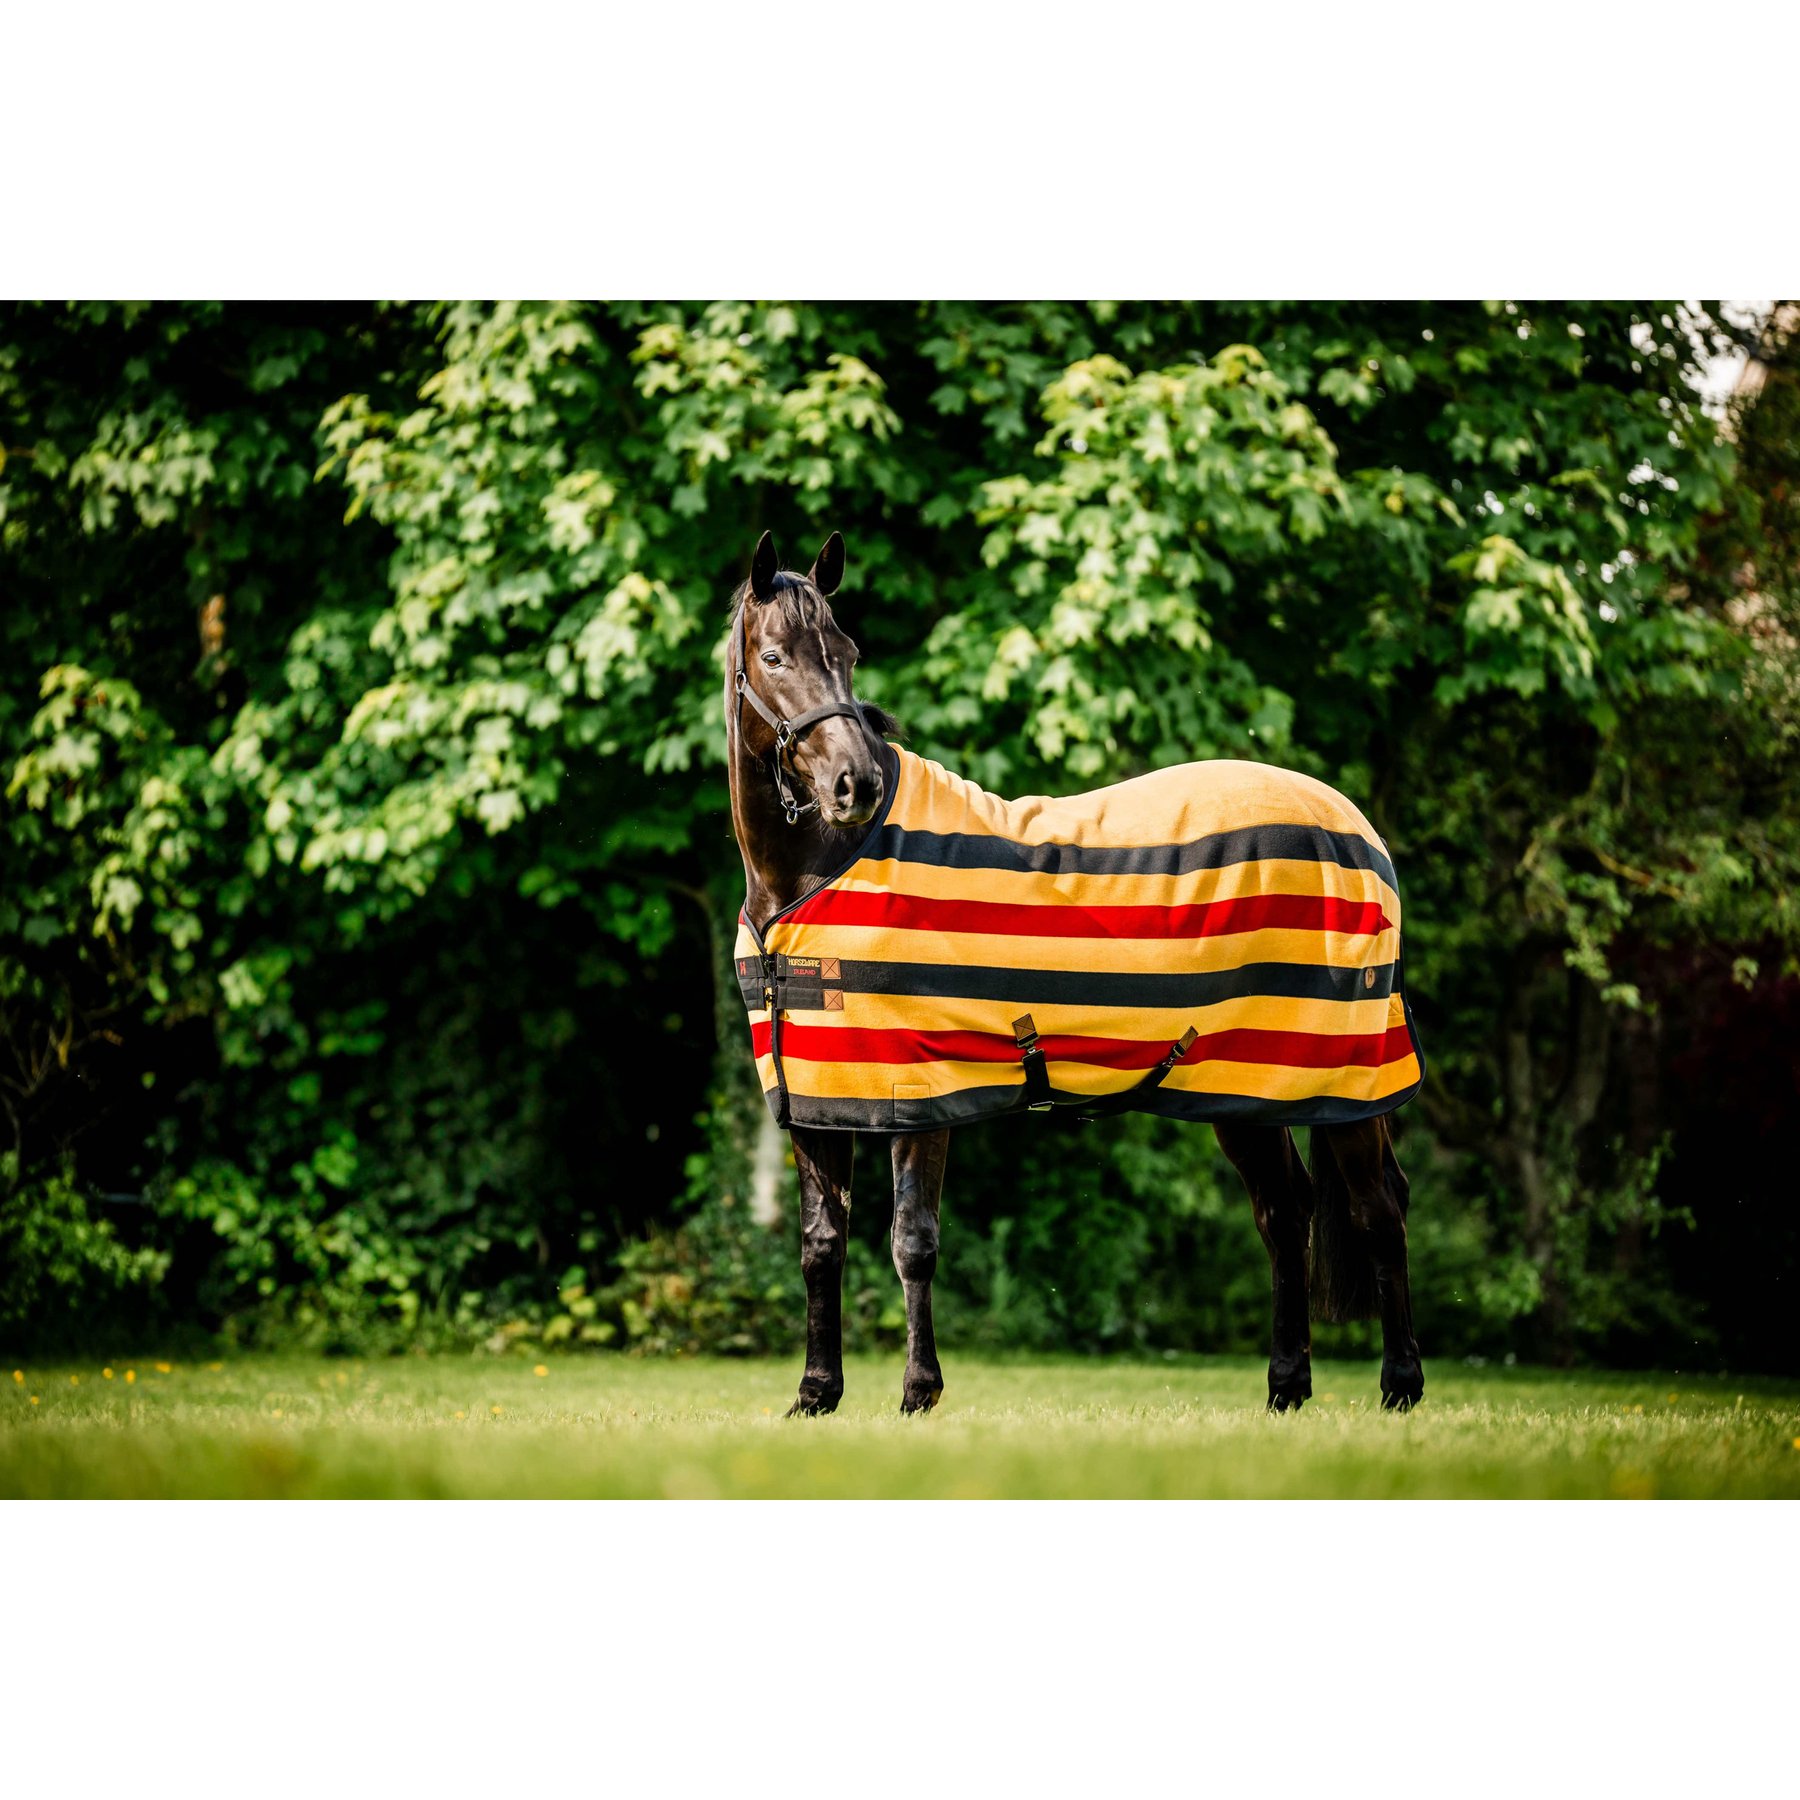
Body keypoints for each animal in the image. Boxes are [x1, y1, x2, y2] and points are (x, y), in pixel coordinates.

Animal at [724, 529, 1425, 1416]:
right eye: (774, 656)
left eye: (846, 654)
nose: (857, 784)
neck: (813, 873)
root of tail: (1354, 829)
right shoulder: (820, 1098)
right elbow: (822, 1245)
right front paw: (816, 1395)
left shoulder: (918, 1091)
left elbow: (912, 1241)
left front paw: (919, 1393)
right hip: (1246, 1082)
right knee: (1283, 1209)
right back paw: (1286, 1389)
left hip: (1346, 1075)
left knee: (1376, 1209)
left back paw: (1400, 1387)